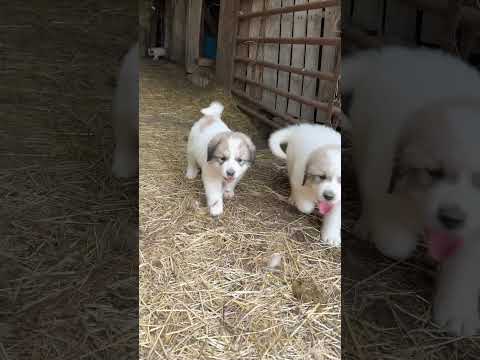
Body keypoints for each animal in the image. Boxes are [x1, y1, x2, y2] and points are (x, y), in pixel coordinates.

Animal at [344, 45, 480, 338]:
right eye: (434, 172)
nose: (451, 219)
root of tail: (392, 54)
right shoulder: (383, 175)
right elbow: (396, 243)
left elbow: (465, 266)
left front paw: (456, 314)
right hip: (363, 135)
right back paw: (366, 225)